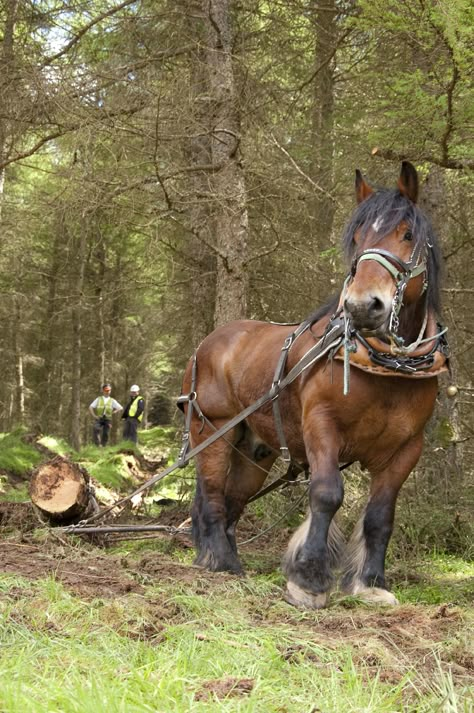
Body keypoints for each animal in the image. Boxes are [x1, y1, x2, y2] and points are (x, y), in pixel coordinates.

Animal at [180, 161, 446, 608]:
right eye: (356, 238)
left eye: (407, 234)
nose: (362, 306)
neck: (388, 370)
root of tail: (207, 344)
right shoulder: (321, 425)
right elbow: (326, 494)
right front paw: (307, 578)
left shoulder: (408, 447)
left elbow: (380, 514)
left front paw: (370, 583)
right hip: (212, 430)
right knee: (213, 496)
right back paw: (221, 562)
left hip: (255, 450)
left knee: (234, 500)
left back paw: (225, 556)